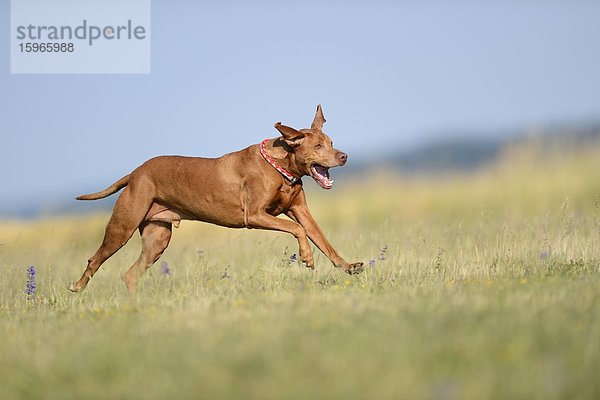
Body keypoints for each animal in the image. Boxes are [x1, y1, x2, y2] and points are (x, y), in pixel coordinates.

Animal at [68, 105, 364, 294]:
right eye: (318, 146)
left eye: (331, 142)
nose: (344, 156)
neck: (281, 167)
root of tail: (135, 172)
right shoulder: (255, 215)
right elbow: (297, 230)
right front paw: (306, 256)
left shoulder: (301, 211)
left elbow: (323, 240)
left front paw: (348, 266)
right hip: (123, 225)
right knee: (95, 259)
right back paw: (77, 286)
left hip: (157, 239)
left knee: (129, 274)